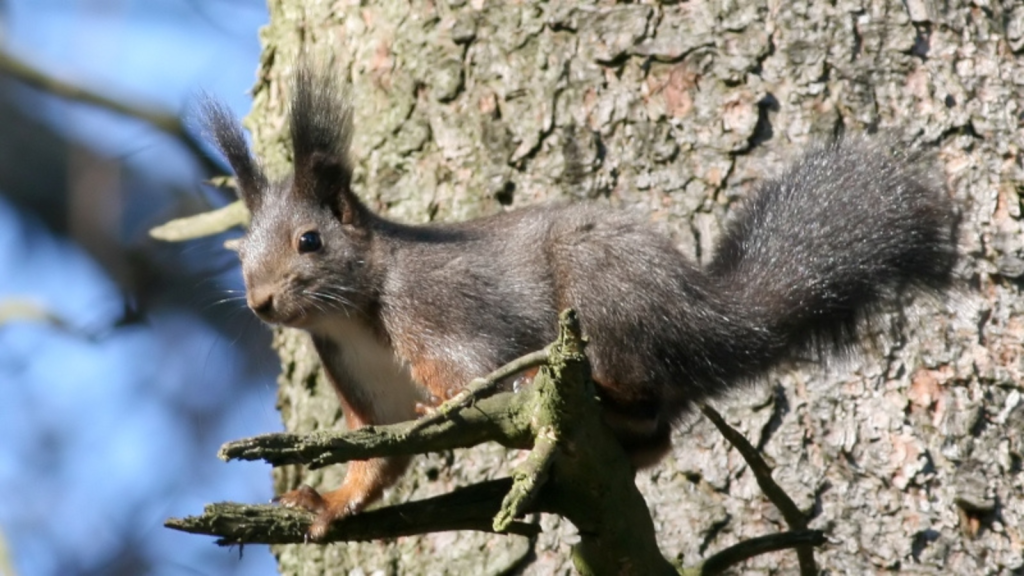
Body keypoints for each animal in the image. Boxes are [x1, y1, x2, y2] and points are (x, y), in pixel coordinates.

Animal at [201, 67, 958, 537]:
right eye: (239, 251)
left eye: (310, 241)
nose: (261, 301)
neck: (356, 312)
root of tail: (707, 320)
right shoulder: (361, 378)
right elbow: (378, 456)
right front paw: (327, 501)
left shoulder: (438, 312)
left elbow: (478, 373)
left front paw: (456, 405)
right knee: (658, 438)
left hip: (604, 292)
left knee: (645, 400)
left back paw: (605, 391)